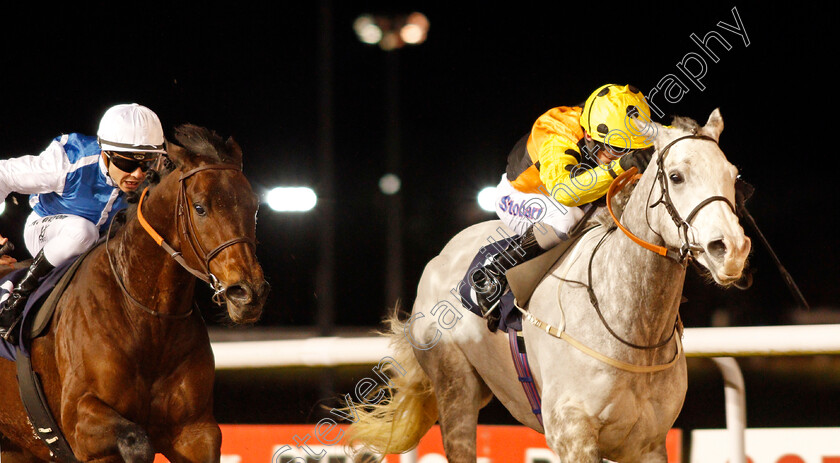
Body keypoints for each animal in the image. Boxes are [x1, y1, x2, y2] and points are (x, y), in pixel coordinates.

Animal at [0, 125, 268, 462]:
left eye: (253, 206)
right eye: (200, 207)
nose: (248, 293)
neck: (146, 320)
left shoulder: (195, 430)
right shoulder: (81, 423)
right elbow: (136, 439)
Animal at [344, 109, 752, 463]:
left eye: (733, 176)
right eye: (677, 176)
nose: (730, 249)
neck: (634, 332)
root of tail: (439, 259)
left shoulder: (648, 444)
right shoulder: (573, 436)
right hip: (455, 389)